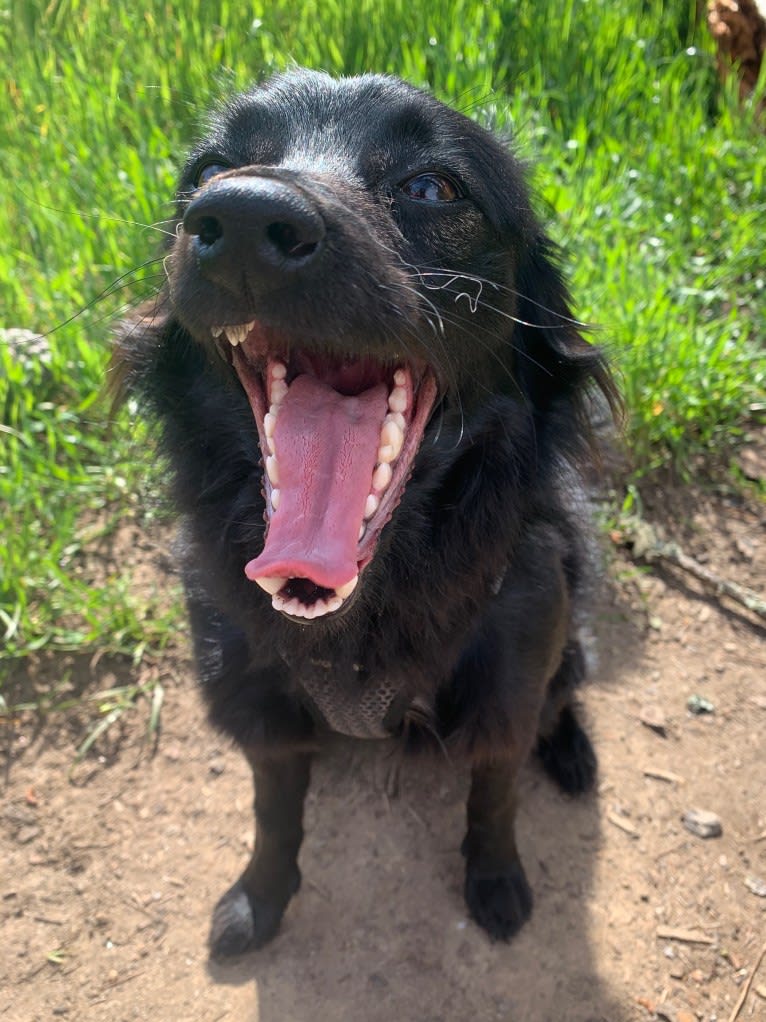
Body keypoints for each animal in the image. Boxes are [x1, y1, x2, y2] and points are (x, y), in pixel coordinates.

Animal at [112, 70, 616, 956]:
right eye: (210, 169)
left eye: (432, 187)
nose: (242, 219)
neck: (363, 620)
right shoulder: (257, 707)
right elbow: (273, 812)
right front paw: (259, 897)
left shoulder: (508, 687)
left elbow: (495, 798)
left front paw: (497, 884)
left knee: (566, 690)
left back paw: (571, 750)